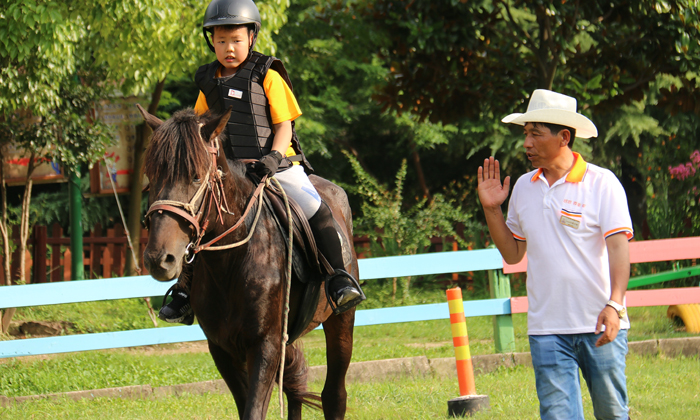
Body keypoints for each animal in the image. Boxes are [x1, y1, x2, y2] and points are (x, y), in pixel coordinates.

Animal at [141, 106, 360, 420]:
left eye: (195, 177)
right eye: (151, 175)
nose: (160, 258)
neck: (230, 264)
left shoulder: (265, 345)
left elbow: (254, 410)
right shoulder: (222, 348)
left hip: (341, 320)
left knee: (334, 395)